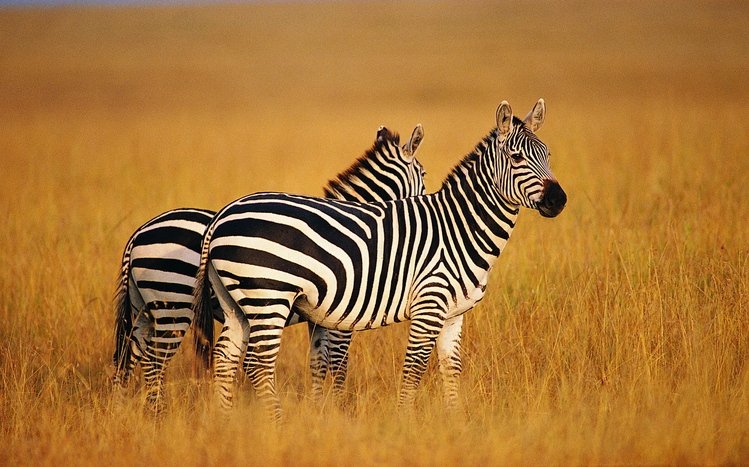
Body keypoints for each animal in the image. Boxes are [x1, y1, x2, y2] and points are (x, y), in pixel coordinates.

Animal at [112, 124, 427, 411]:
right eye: (423, 175)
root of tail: (137, 235)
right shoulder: (339, 315)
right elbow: (338, 363)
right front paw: (338, 409)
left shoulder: (319, 318)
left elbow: (318, 363)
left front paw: (318, 409)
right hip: (174, 303)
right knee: (154, 360)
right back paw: (158, 412)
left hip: (144, 307)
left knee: (130, 354)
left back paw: (127, 410)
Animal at [193, 99, 567, 421]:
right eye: (516, 157)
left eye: (548, 154)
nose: (559, 200)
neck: (458, 227)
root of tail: (222, 215)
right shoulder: (423, 306)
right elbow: (410, 368)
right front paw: (401, 423)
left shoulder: (453, 315)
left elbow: (451, 369)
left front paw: (454, 422)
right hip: (268, 296)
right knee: (257, 364)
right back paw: (278, 424)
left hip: (236, 303)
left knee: (226, 358)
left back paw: (227, 421)